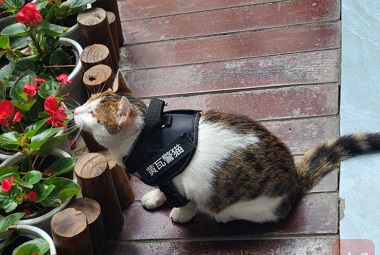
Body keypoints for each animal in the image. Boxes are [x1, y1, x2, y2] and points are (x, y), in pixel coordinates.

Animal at [73, 69, 380, 223]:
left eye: (94, 115)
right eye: (89, 101)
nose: (75, 111)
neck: (146, 136)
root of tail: (295, 176)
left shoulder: (184, 183)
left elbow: (186, 202)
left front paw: (181, 214)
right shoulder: (165, 176)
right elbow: (162, 188)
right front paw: (156, 197)